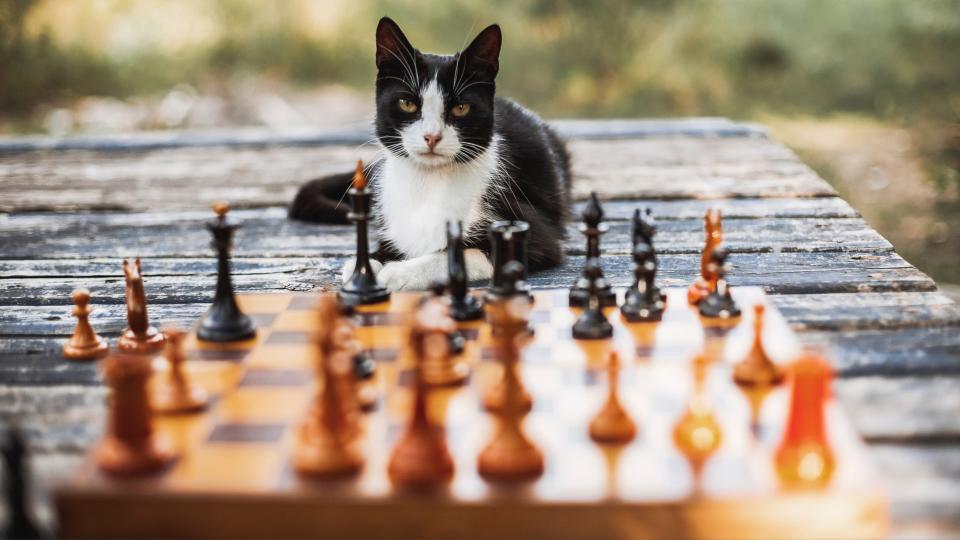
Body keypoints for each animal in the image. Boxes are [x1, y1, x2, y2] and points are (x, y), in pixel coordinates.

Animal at [284, 16, 568, 288]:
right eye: (407, 103)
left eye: (461, 108)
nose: (432, 136)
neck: (428, 183)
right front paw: (367, 265)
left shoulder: (530, 228)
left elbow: (466, 253)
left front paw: (398, 273)